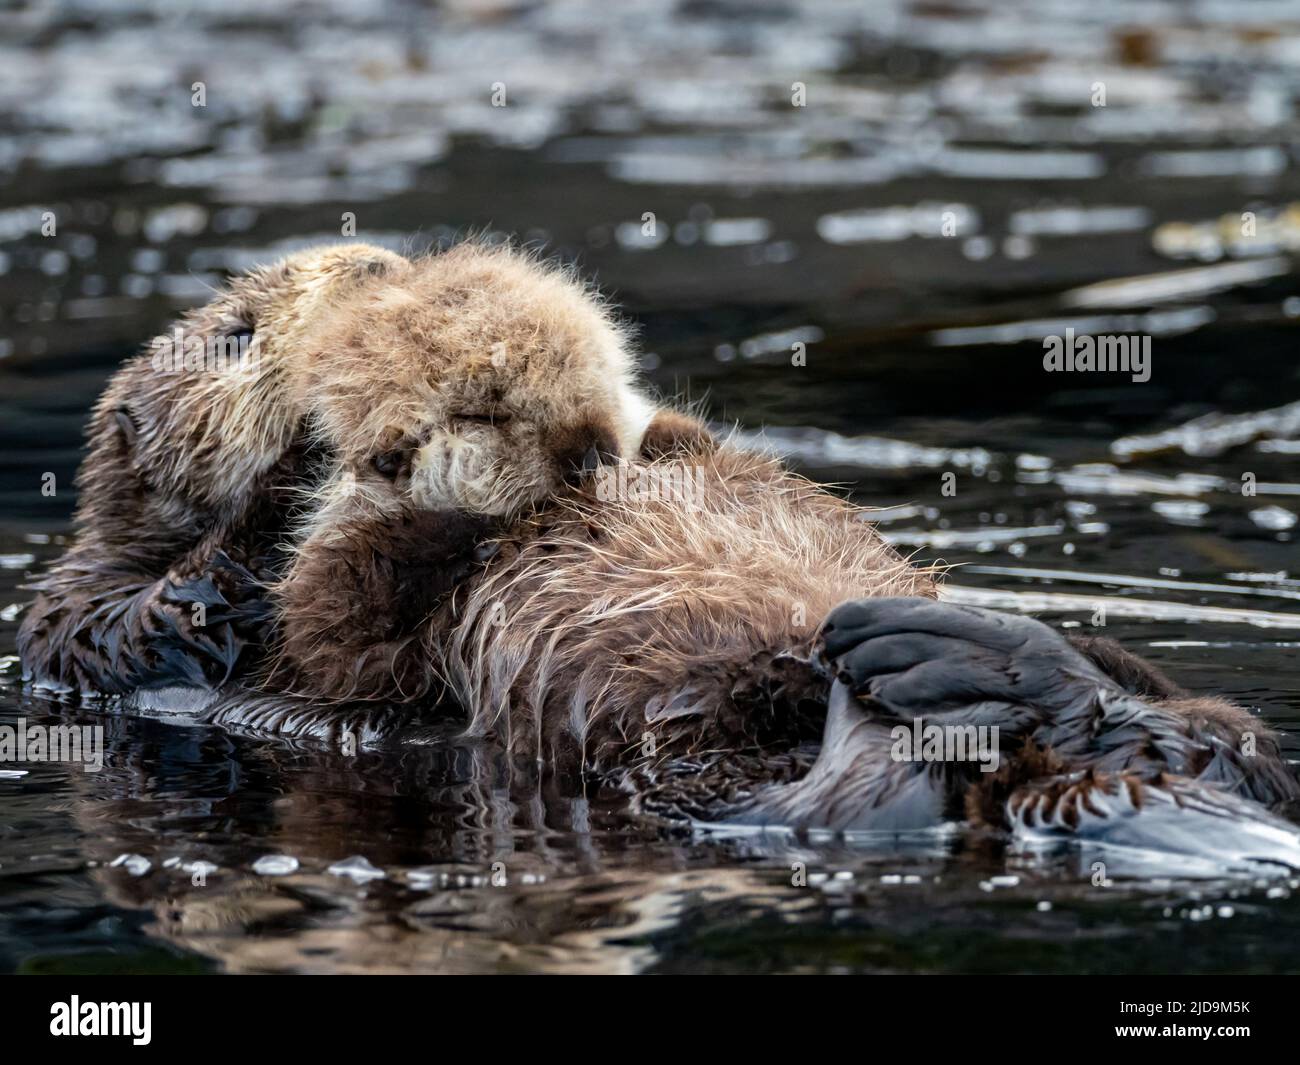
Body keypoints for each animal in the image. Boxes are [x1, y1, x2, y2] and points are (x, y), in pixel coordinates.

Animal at [18, 244, 1300, 867]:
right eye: (236, 334)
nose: (374, 263)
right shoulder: (96, 630)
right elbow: (240, 610)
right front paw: (337, 474)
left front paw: (660, 437)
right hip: (698, 764)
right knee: (859, 797)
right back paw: (908, 669)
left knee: (1222, 744)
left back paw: (978, 657)